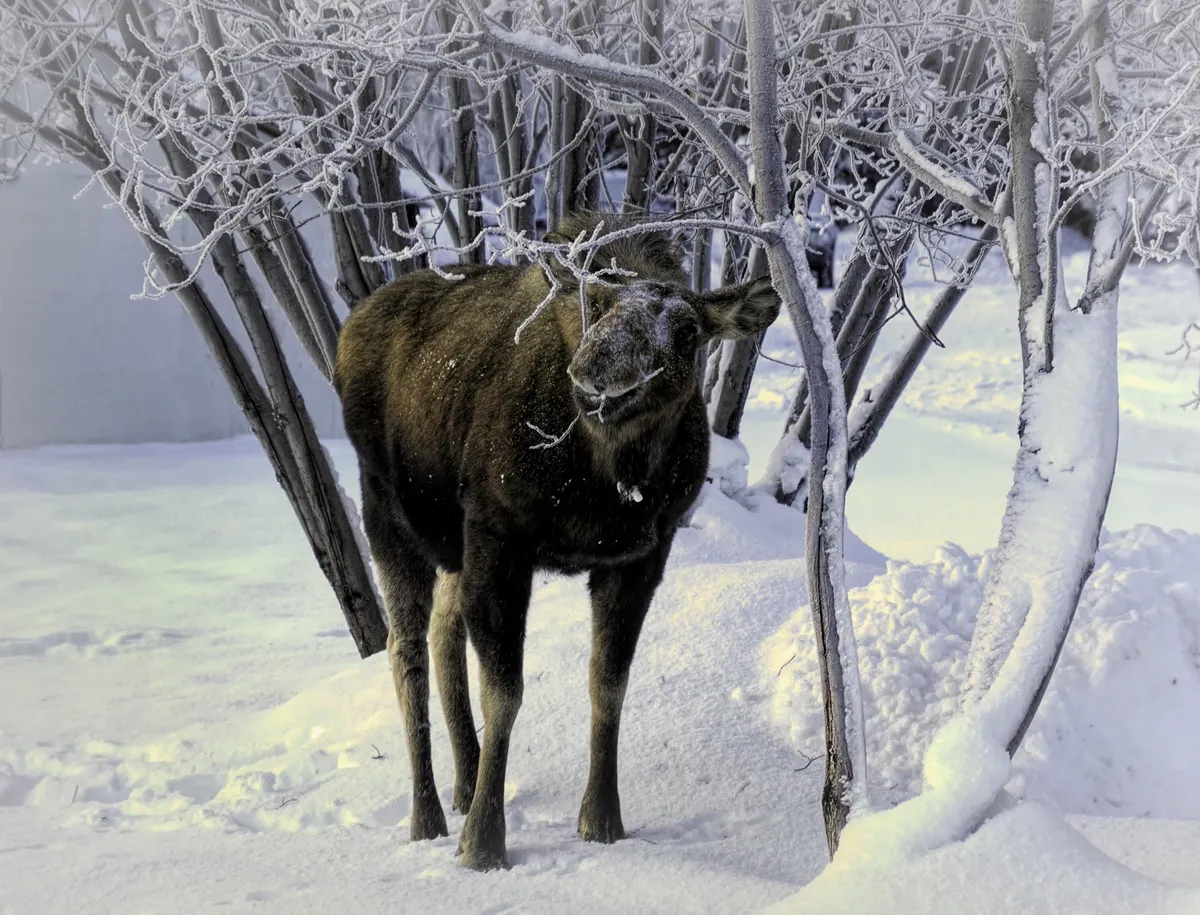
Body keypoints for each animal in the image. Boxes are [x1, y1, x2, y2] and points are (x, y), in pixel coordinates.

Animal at [335, 212, 780, 870]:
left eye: (687, 329)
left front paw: (602, 821)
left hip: (452, 547)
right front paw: (483, 846)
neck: (608, 479)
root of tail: (351, 327)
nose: (598, 375)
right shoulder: (500, 539)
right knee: (404, 648)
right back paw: (429, 818)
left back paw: (466, 784)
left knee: (442, 633)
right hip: (387, 515)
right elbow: (506, 693)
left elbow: (608, 684)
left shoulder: (640, 557)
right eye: (594, 303)